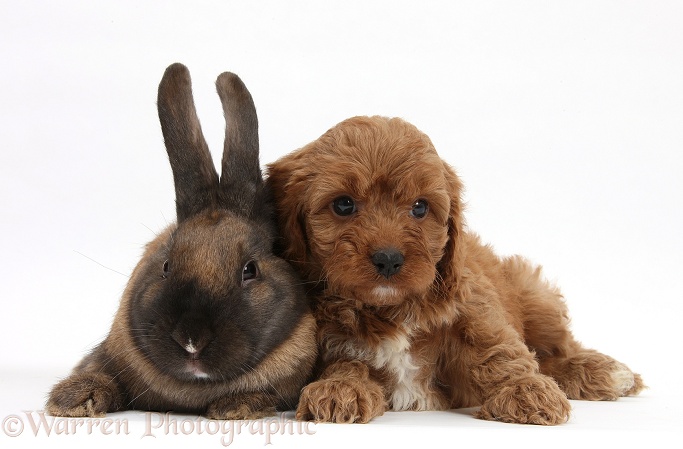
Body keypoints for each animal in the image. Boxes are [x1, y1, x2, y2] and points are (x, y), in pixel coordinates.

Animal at [268, 115, 648, 424]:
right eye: (344, 205)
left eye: (420, 208)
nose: (389, 259)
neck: (390, 309)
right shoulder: (334, 338)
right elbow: (347, 361)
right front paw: (339, 388)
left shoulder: (471, 302)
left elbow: (496, 347)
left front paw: (525, 390)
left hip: (537, 296)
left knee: (558, 349)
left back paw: (607, 371)